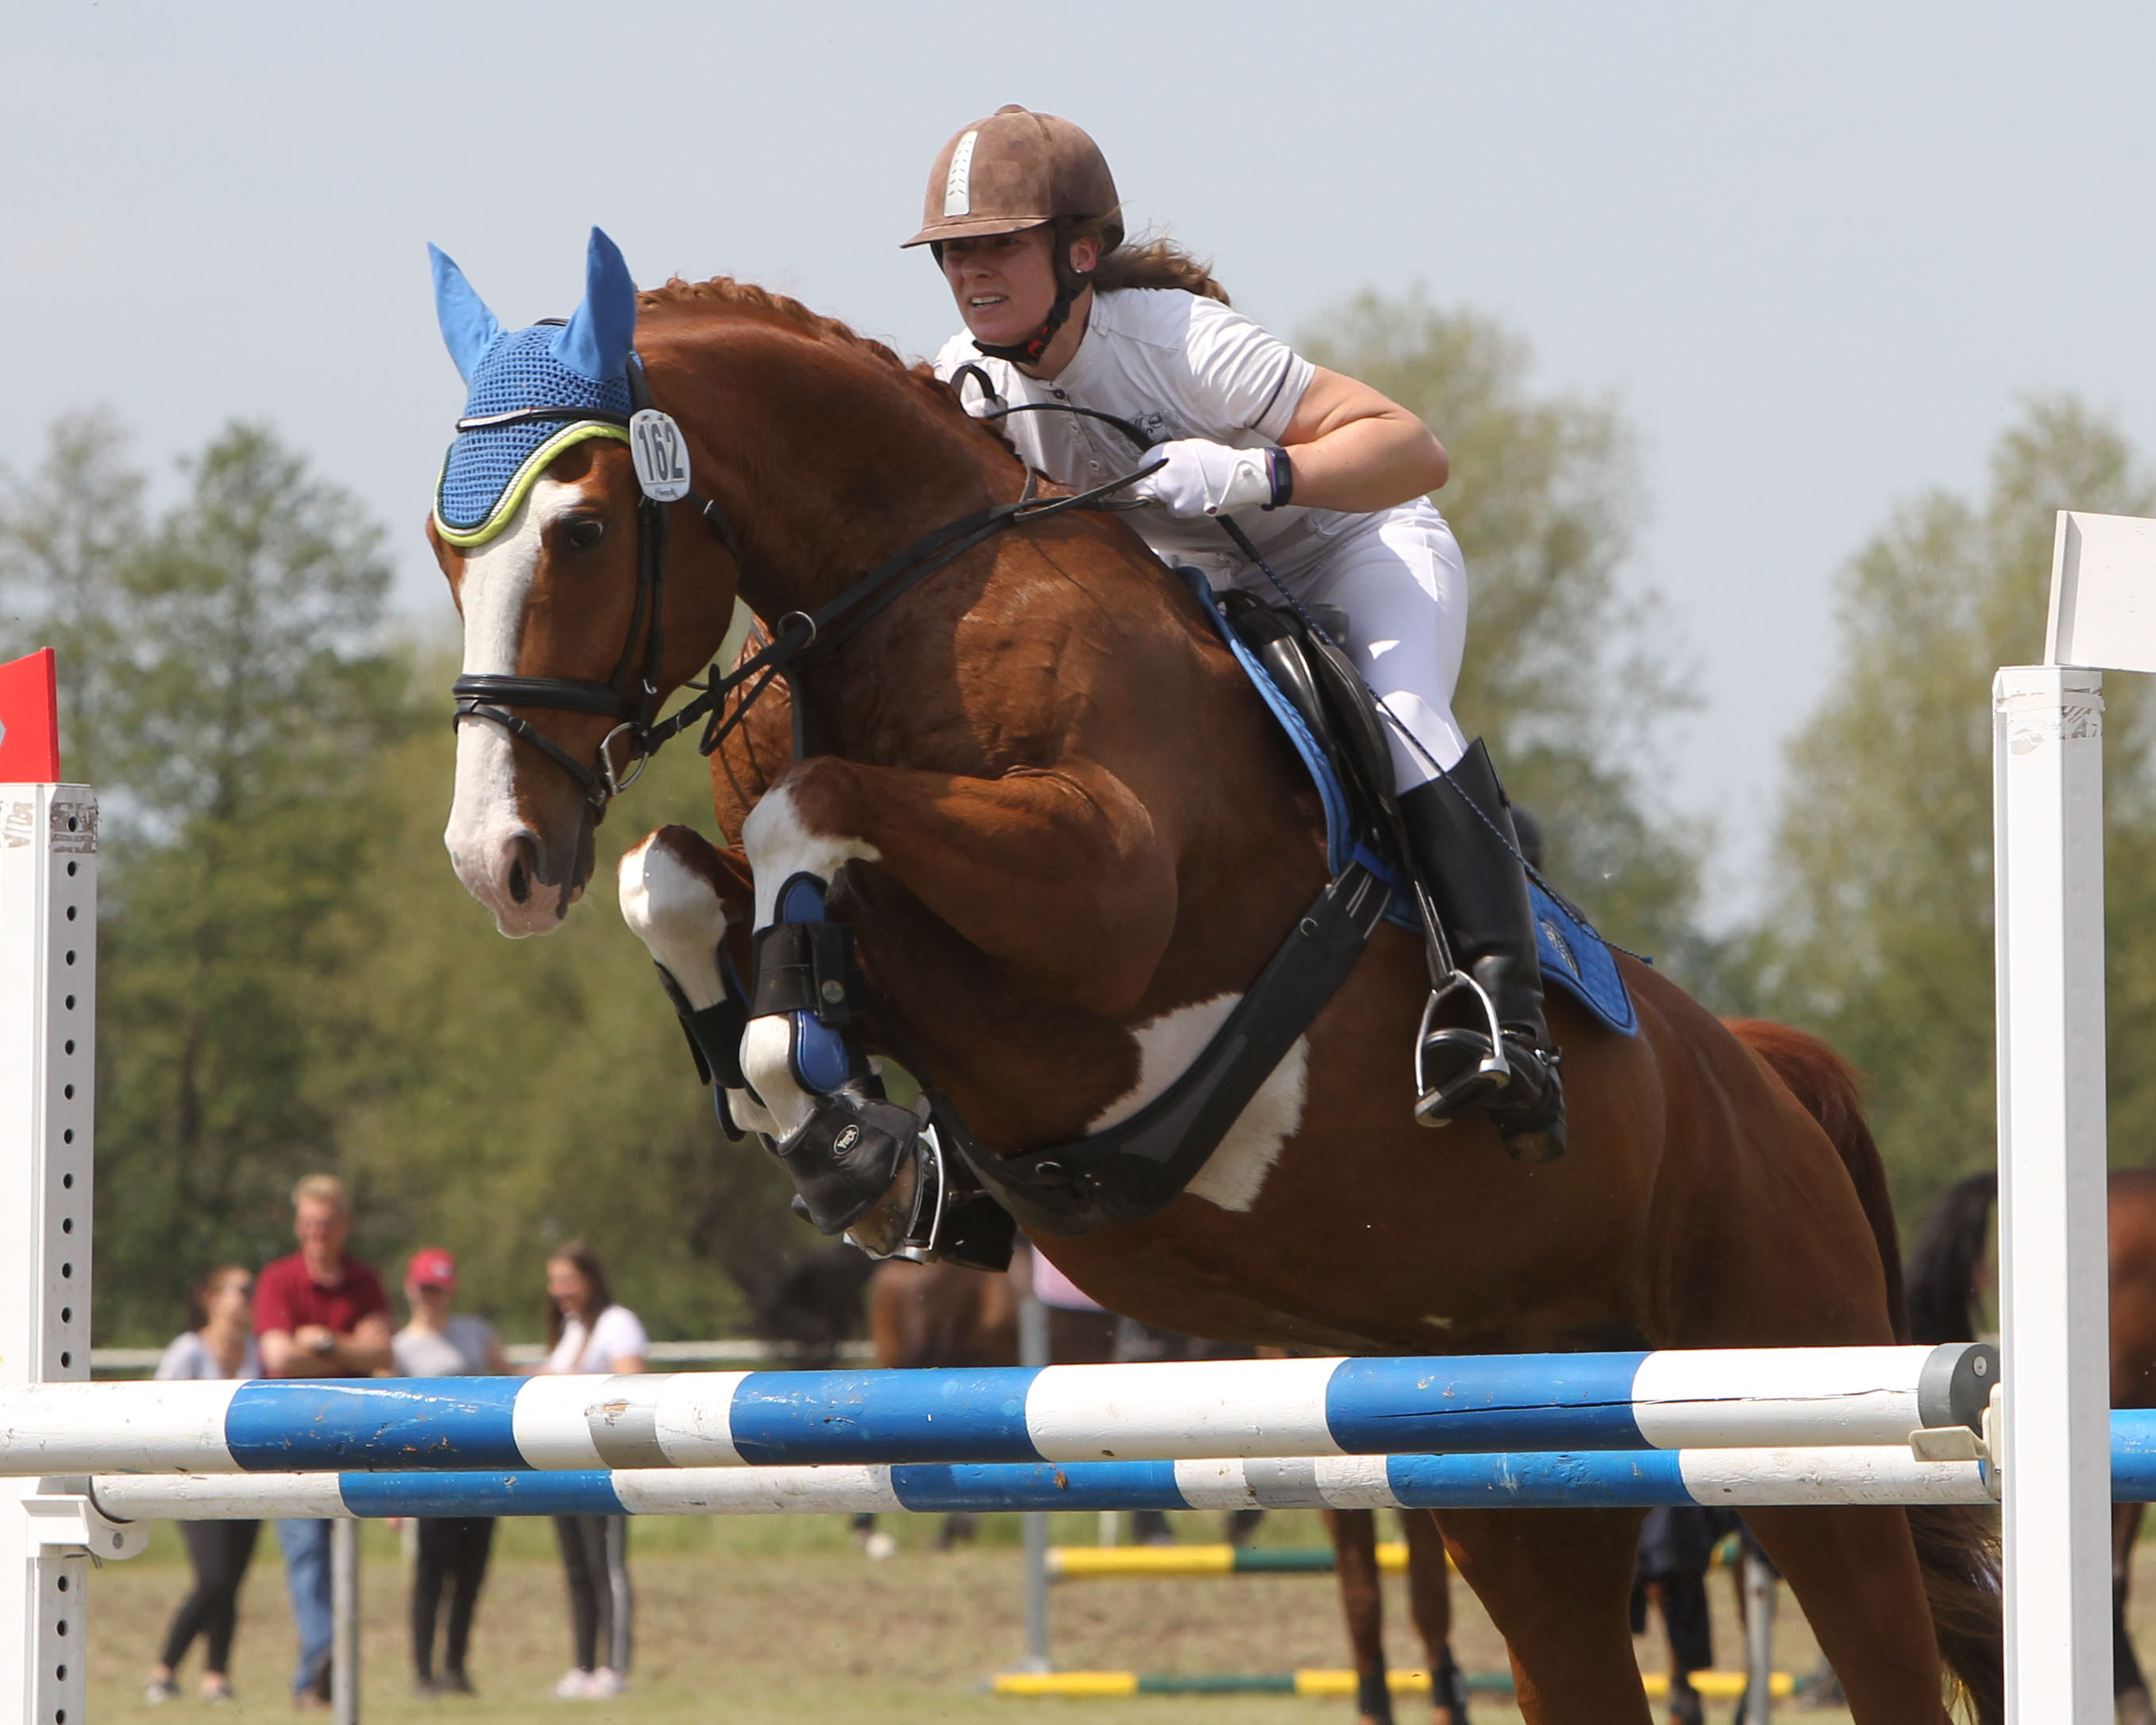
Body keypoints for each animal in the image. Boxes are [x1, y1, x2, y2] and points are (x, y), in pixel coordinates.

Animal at [429, 236, 2009, 1725]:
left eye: (579, 531)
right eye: (451, 556)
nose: (496, 861)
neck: (900, 600)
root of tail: (1762, 1077)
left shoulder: (1104, 906)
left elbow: (803, 812)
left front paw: (836, 1113)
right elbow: (683, 876)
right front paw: (829, 1115)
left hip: (1802, 1420)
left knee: (1881, 1633)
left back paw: (1494, 1047)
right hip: (1527, 1478)